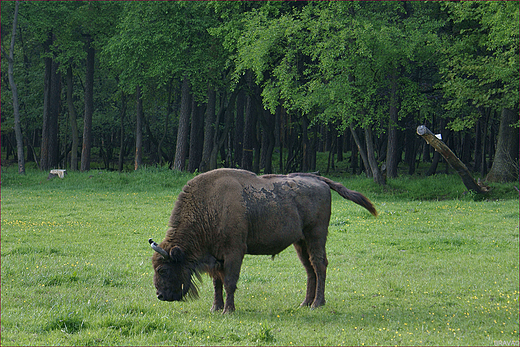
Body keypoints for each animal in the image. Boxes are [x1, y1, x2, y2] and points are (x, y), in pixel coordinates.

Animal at [148, 167, 376, 314]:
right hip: (300, 242)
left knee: (319, 266)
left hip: (315, 236)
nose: (159, 295)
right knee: (310, 269)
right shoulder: (216, 257)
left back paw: (317, 304)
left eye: (163, 269)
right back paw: (304, 303)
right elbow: (217, 283)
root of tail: (319, 181)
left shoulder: (234, 252)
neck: (210, 207)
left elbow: (230, 282)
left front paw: (228, 311)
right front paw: (215, 308)